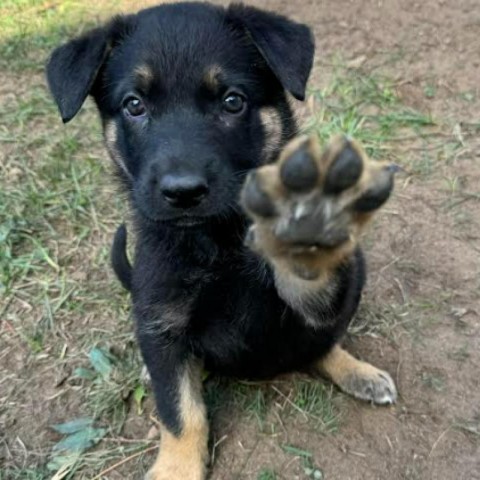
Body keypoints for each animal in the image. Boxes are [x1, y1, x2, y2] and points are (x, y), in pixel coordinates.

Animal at [46, 1, 398, 478]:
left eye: (233, 101)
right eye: (134, 105)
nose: (183, 192)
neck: (215, 243)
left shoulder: (314, 299)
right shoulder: (160, 318)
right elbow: (180, 410)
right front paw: (176, 468)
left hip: (355, 276)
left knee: (323, 343)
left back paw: (356, 370)